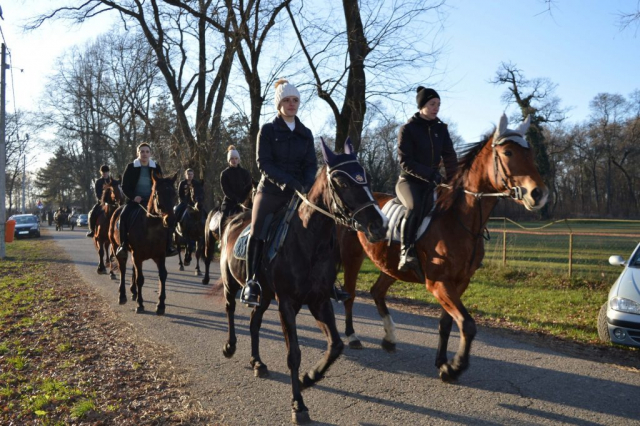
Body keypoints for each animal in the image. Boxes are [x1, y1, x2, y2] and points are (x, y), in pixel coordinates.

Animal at [107, 171, 178, 314]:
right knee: (123, 269)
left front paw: (161, 305)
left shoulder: (160, 256)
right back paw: (122, 296)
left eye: (174, 194)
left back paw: (133, 292)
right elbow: (140, 279)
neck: (151, 227)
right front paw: (140, 304)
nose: (170, 220)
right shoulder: (137, 256)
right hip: (118, 248)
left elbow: (162, 275)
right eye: (158, 193)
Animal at [220, 138, 388, 424]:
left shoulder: (319, 301)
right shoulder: (287, 304)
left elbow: (336, 345)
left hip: (265, 295)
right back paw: (230, 347)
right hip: (231, 283)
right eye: (342, 182)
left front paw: (309, 378)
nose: (379, 225)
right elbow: (294, 354)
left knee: (254, 322)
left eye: (364, 176)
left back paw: (257, 362)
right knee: (230, 309)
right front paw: (298, 404)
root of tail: (236, 218)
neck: (309, 239)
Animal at [338, 114, 548, 382]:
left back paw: (389, 338)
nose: (538, 194)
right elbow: (467, 324)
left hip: (389, 266)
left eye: (530, 152)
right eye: (508, 152)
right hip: (352, 258)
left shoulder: (460, 282)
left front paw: (442, 362)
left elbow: (448, 323)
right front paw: (454, 367)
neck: (459, 219)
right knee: (350, 294)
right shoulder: (438, 282)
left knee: (376, 292)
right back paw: (353, 336)